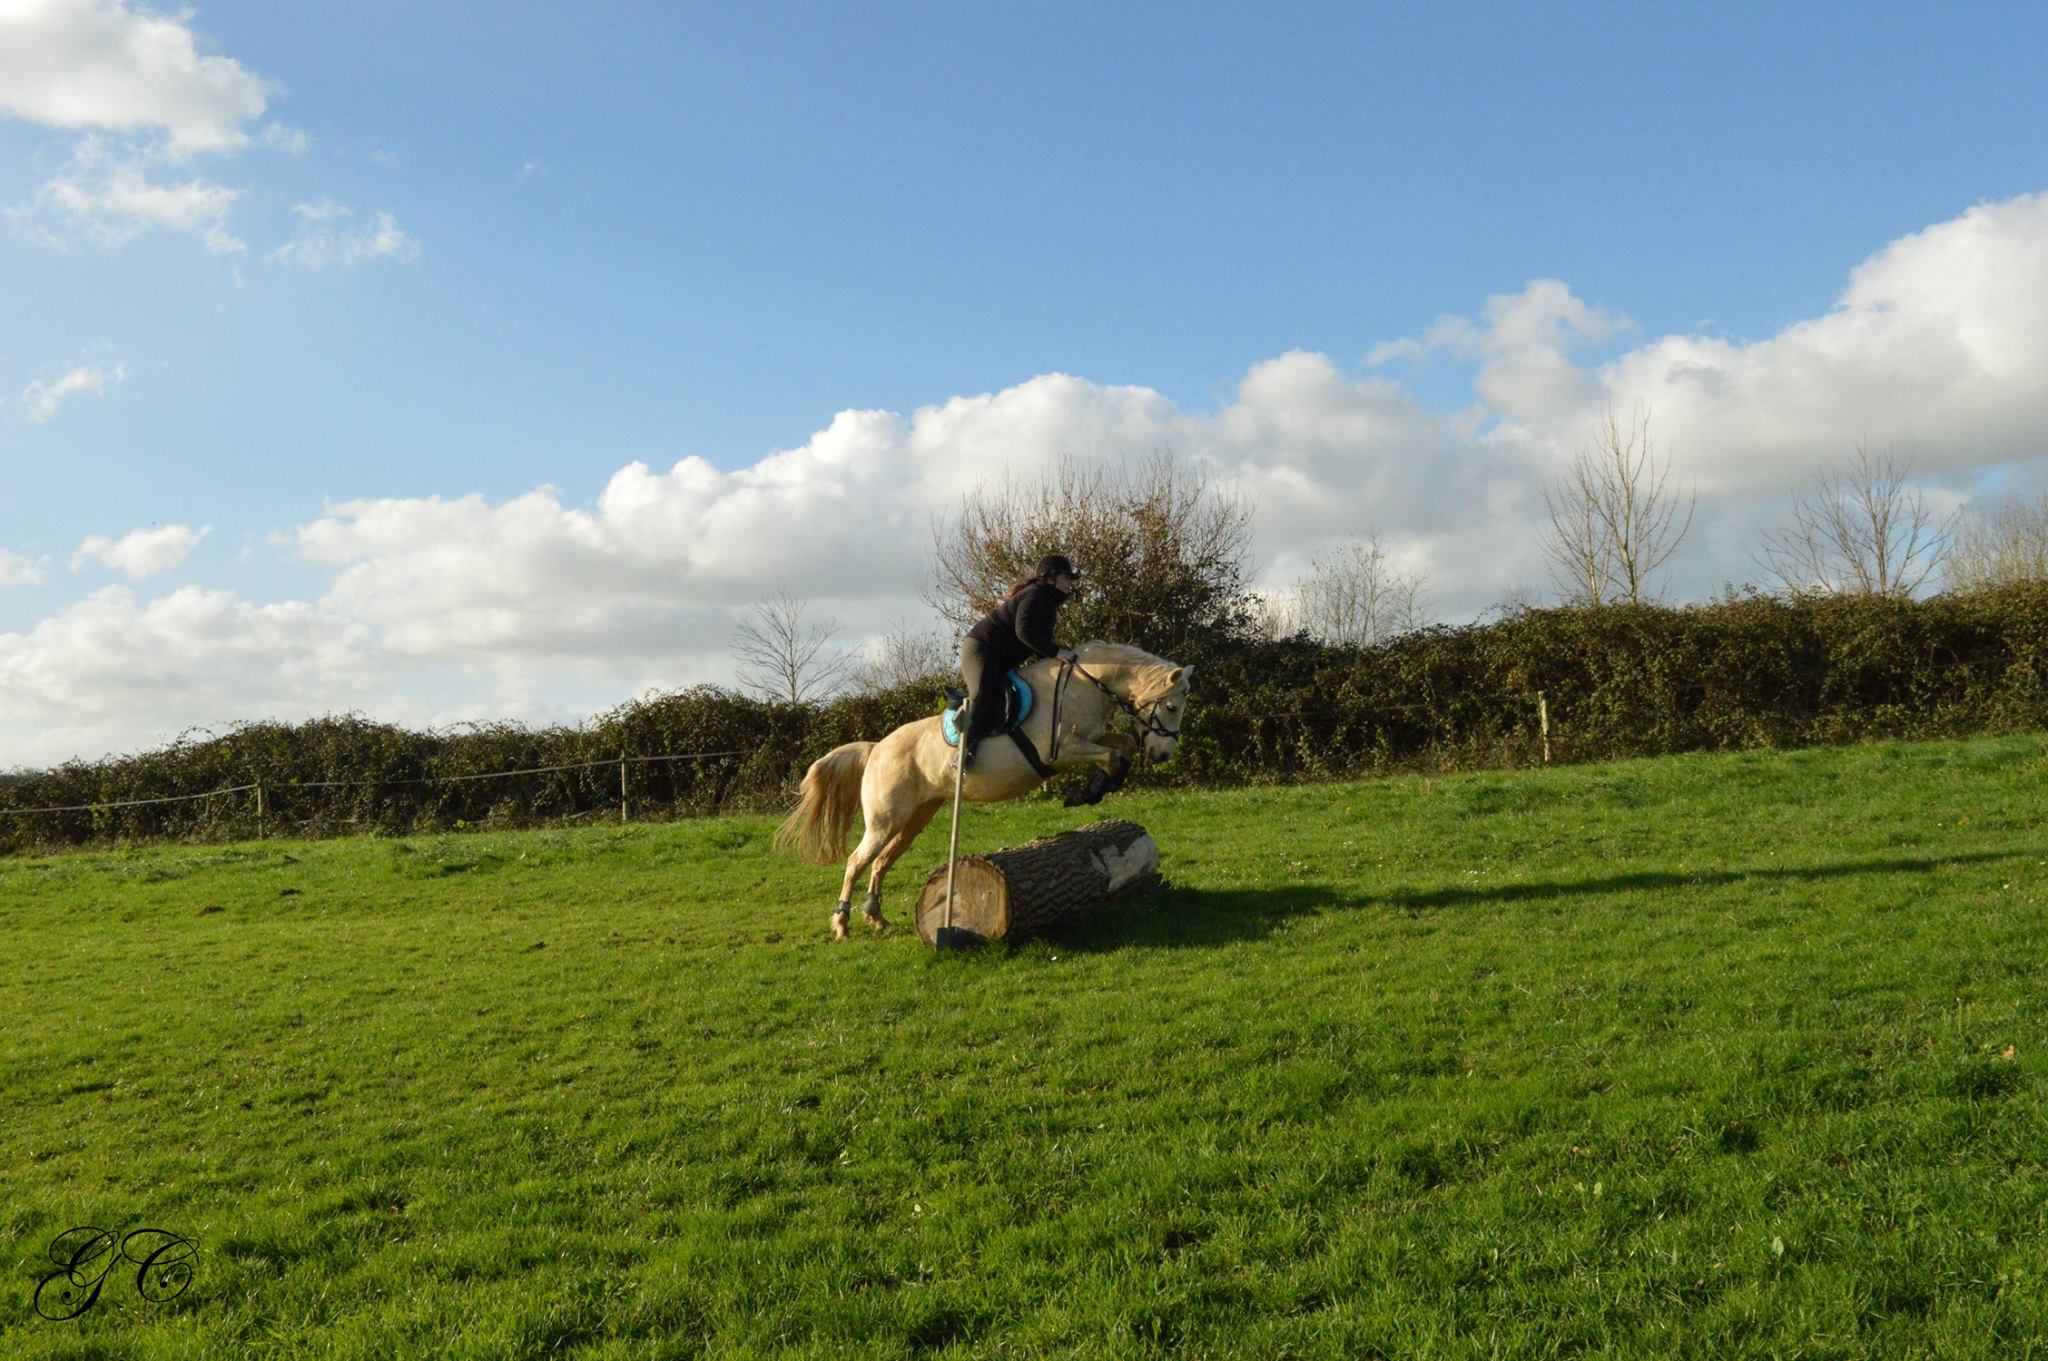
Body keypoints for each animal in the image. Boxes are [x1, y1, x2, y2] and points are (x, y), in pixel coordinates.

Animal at [770, 642, 1196, 941]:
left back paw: (875, 917)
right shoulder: (1060, 750)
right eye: (1172, 707)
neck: (1086, 683)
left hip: (915, 817)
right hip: (885, 819)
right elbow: (1112, 754)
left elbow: (1120, 746)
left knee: (880, 862)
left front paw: (1096, 788)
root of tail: (876, 748)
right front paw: (1087, 792)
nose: (1163, 755)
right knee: (857, 861)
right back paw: (841, 924)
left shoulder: (1091, 738)